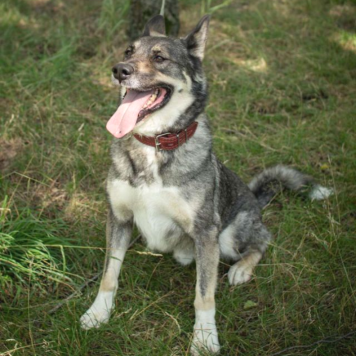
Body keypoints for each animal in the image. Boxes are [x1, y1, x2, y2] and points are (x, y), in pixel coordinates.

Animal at [80, 14, 330, 354]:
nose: (119, 70)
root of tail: (255, 198)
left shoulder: (205, 232)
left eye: (159, 57)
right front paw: (98, 314)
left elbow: (204, 296)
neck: (155, 144)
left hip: (228, 237)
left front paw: (205, 337)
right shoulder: (118, 218)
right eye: (128, 51)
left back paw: (241, 269)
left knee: (263, 240)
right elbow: (109, 275)